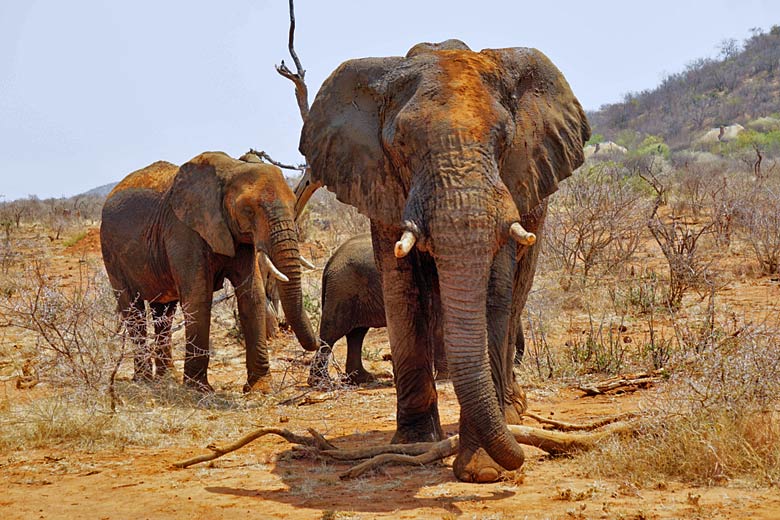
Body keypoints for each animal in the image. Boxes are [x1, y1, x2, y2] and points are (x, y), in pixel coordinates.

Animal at [100, 152, 320, 392]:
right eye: (248, 210)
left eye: (294, 204)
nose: (319, 343)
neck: (232, 168)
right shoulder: (184, 230)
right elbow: (198, 298)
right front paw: (198, 389)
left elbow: (252, 296)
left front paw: (259, 387)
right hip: (111, 253)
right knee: (134, 312)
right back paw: (145, 382)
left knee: (164, 314)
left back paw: (167, 379)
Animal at [298, 40, 584, 484]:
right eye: (401, 145)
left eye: (505, 140)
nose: (519, 456)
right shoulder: (382, 185)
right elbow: (403, 291)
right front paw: (415, 444)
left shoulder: (511, 186)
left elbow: (494, 292)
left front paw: (482, 470)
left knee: (515, 297)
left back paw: (511, 411)